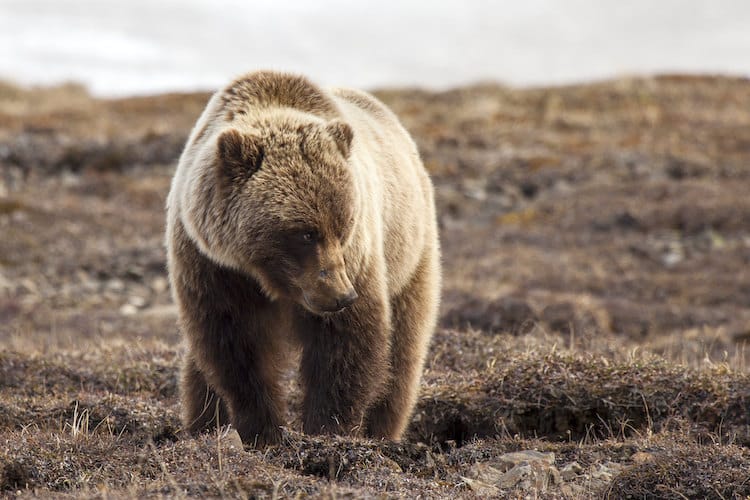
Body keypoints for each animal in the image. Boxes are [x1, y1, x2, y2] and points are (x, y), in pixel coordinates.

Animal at [166, 69, 440, 446]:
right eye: (306, 233)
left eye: (343, 226)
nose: (342, 295)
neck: (266, 275)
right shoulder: (213, 265)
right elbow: (235, 345)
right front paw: (261, 430)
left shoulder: (359, 259)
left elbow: (346, 344)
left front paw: (328, 429)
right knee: (199, 368)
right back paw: (203, 424)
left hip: (409, 254)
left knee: (403, 351)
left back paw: (383, 431)